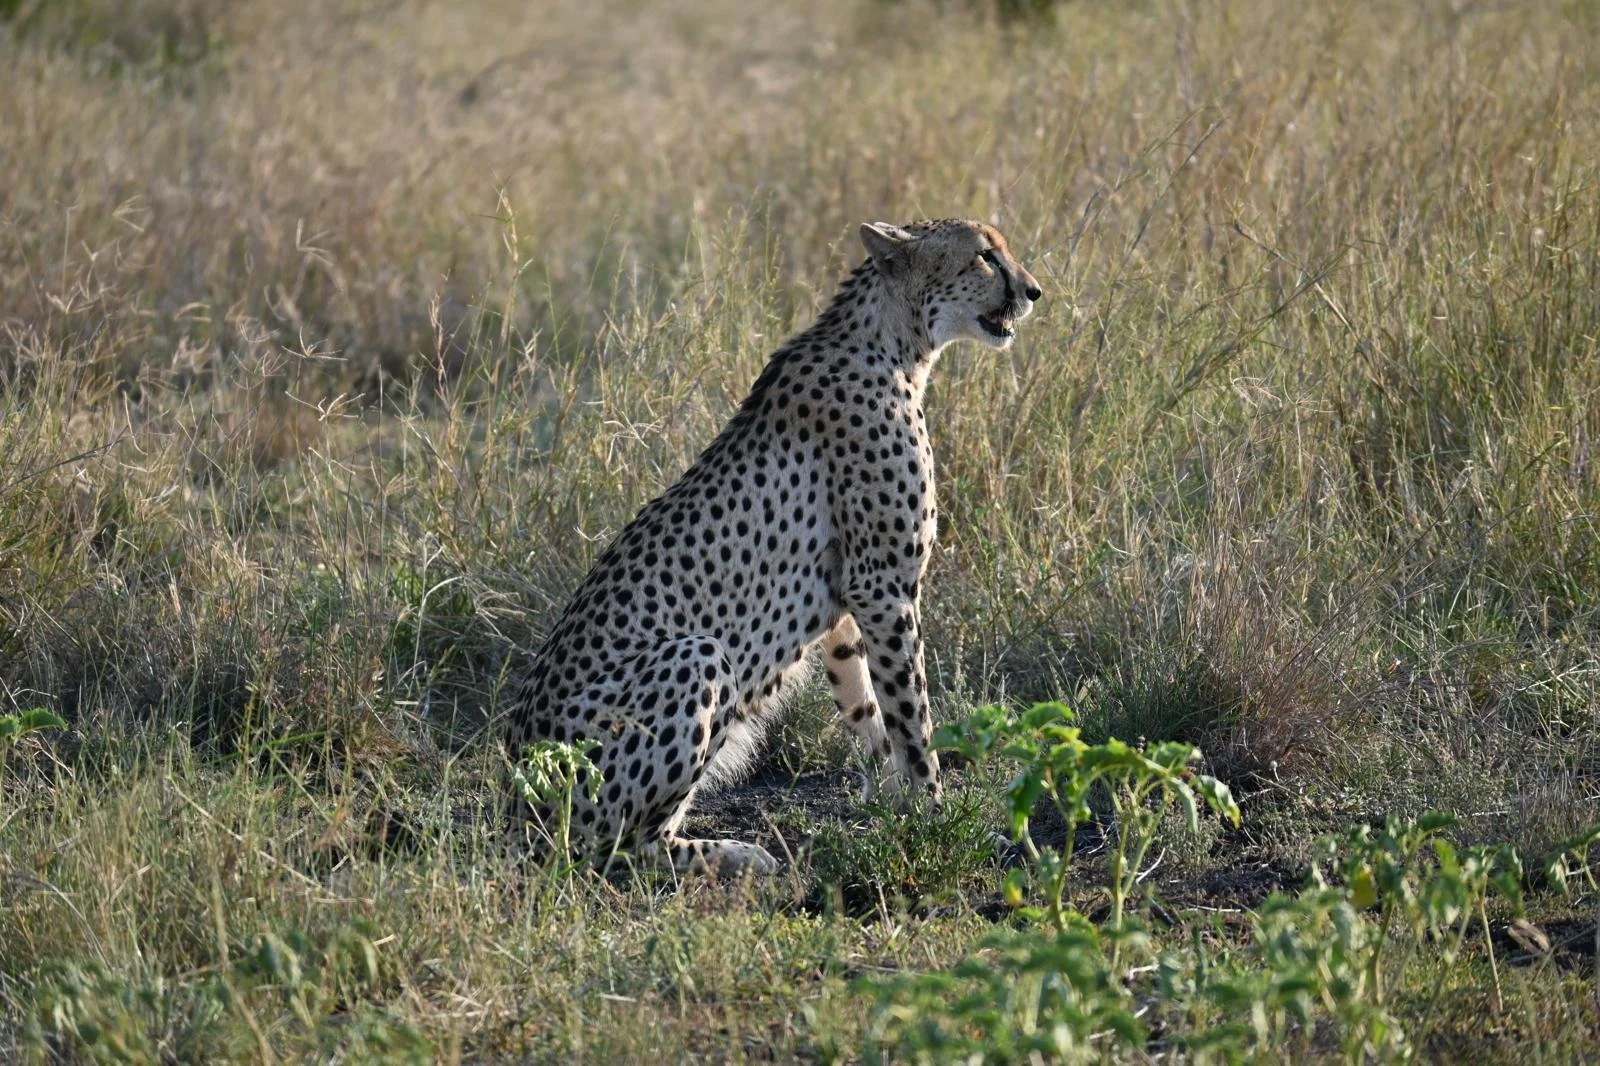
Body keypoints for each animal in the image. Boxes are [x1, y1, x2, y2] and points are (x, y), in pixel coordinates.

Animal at [504, 218, 1043, 877]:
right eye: (986, 256)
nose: (1033, 292)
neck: (895, 342)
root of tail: (512, 799)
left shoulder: (850, 606)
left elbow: (870, 710)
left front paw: (896, 810)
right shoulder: (884, 588)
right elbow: (912, 718)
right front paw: (940, 819)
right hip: (698, 658)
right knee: (615, 847)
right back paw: (736, 854)